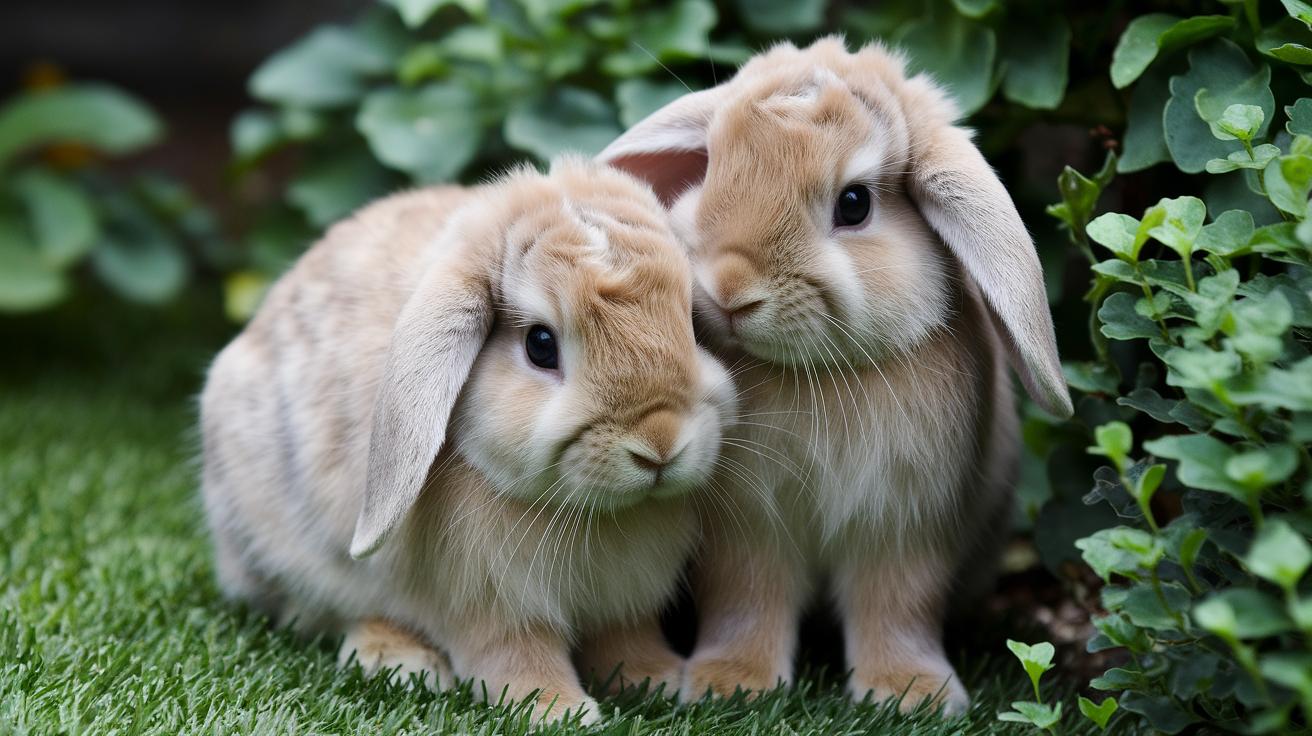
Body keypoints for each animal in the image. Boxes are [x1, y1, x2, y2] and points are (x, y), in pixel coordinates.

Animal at [199, 157, 737, 724]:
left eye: (692, 324)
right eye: (540, 345)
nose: (660, 443)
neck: (600, 513)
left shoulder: (625, 604)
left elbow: (626, 642)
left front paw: (659, 681)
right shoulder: (489, 606)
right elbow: (514, 655)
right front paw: (559, 711)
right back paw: (399, 661)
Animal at [598, 37, 1073, 715]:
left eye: (855, 203)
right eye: (712, 167)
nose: (729, 290)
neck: (812, 376)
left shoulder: (905, 528)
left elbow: (897, 607)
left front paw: (911, 694)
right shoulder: (748, 533)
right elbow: (747, 601)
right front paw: (731, 683)